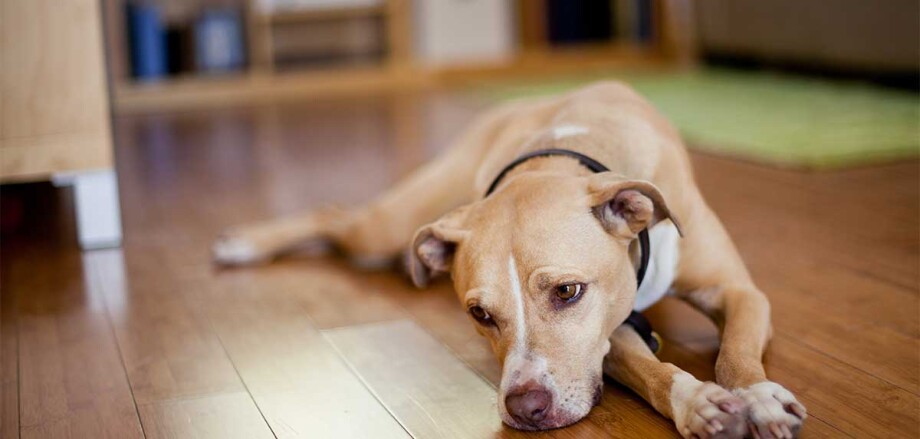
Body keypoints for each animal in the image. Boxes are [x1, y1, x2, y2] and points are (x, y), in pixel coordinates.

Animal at [214, 83, 804, 439]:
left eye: (567, 291)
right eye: (479, 315)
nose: (525, 409)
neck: (566, 154)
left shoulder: (738, 291)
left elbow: (736, 352)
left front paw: (758, 398)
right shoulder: (607, 339)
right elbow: (652, 371)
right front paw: (697, 402)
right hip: (390, 224)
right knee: (335, 214)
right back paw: (241, 244)